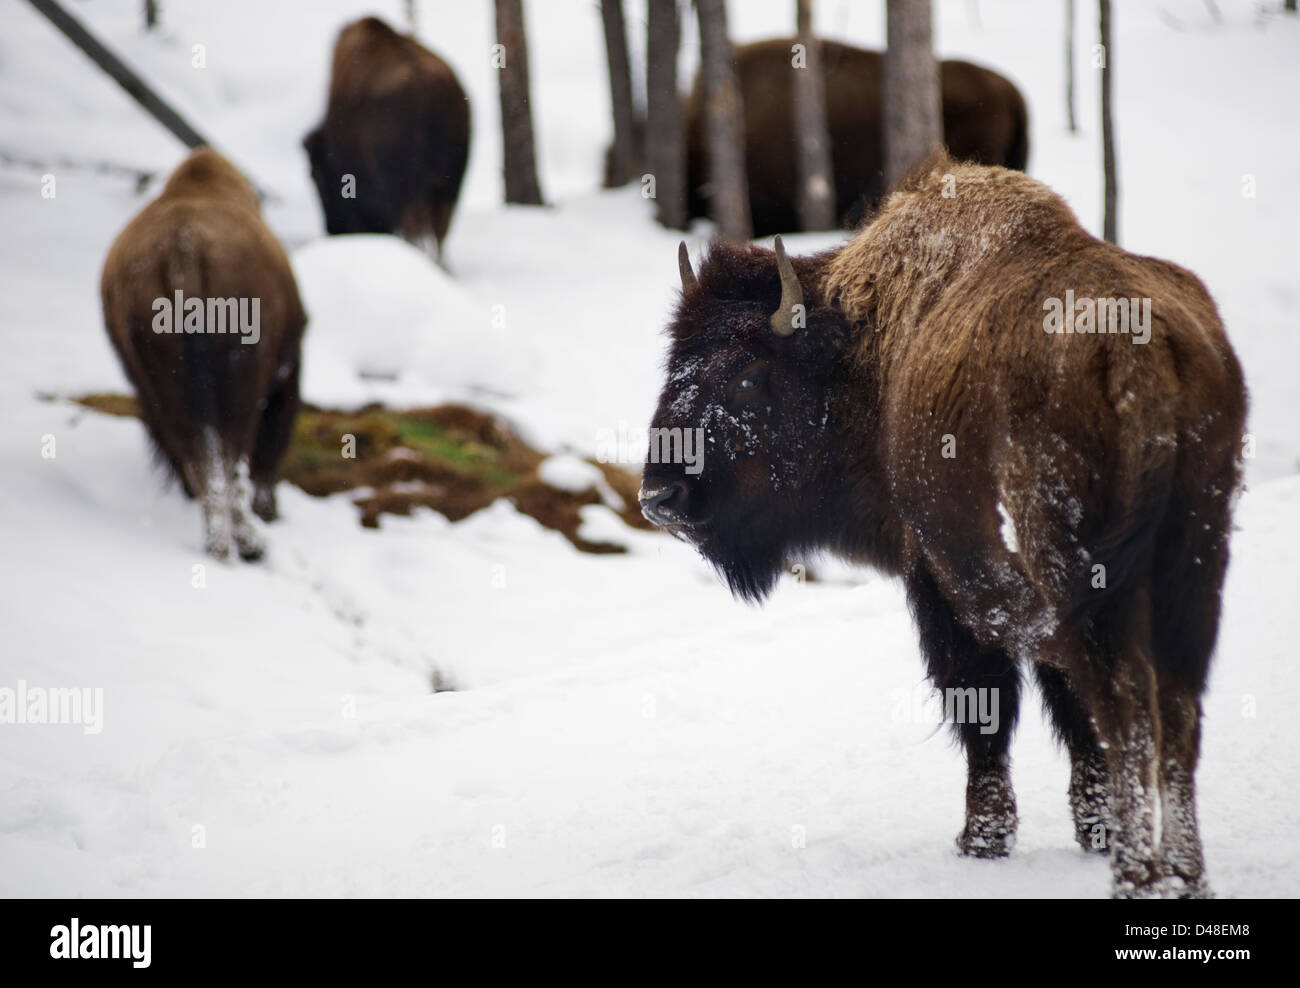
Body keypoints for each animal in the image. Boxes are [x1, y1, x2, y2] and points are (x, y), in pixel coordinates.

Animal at [101, 148, 307, 561]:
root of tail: (183, 249)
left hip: (162, 381)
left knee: (193, 449)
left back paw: (218, 540)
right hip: (242, 378)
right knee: (230, 454)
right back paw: (247, 544)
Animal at [303, 17, 471, 261]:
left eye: (315, 175)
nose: (332, 229)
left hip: (408, 193)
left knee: (416, 233)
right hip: (447, 189)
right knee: (439, 236)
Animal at [640, 153, 1247, 898]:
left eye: (750, 375)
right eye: (674, 364)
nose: (660, 496)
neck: (863, 355)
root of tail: (1138, 352)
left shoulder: (939, 581)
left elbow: (987, 705)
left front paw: (981, 841)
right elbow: (1060, 705)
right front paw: (1086, 830)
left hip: (1083, 572)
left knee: (1126, 704)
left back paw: (1137, 876)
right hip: (1194, 561)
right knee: (1177, 706)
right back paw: (1184, 875)